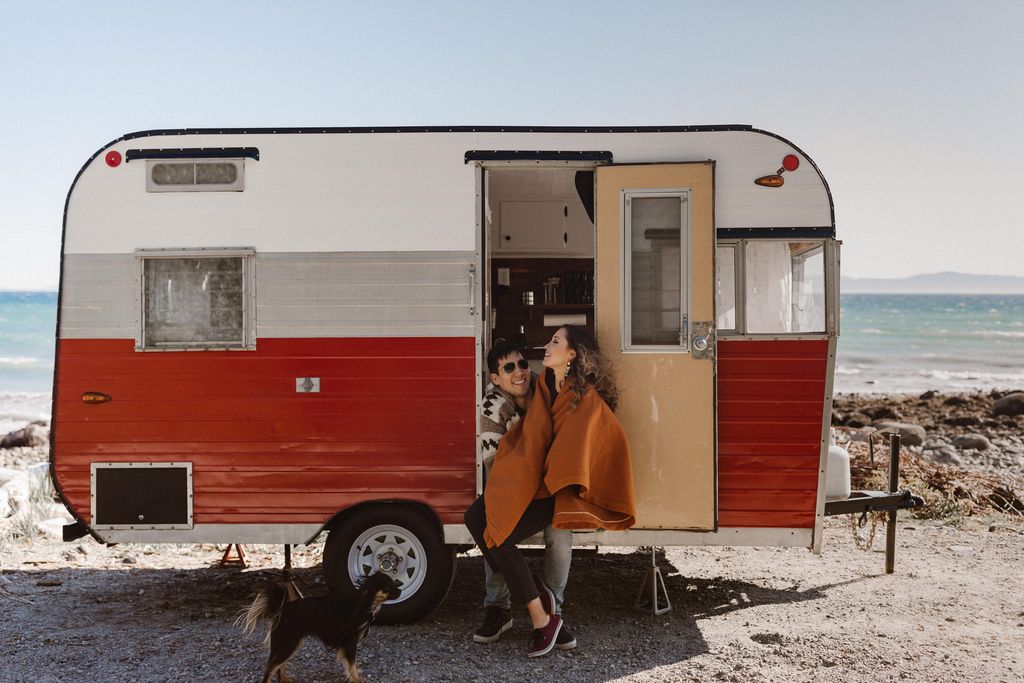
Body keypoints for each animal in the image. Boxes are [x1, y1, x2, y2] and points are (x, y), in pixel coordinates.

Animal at [238, 573, 399, 679]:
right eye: (388, 586)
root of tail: (283, 608)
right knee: (271, 667)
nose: (400, 590)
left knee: (278, 666)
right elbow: (352, 668)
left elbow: (350, 667)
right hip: (288, 643)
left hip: (290, 644)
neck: (365, 602)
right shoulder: (350, 644)